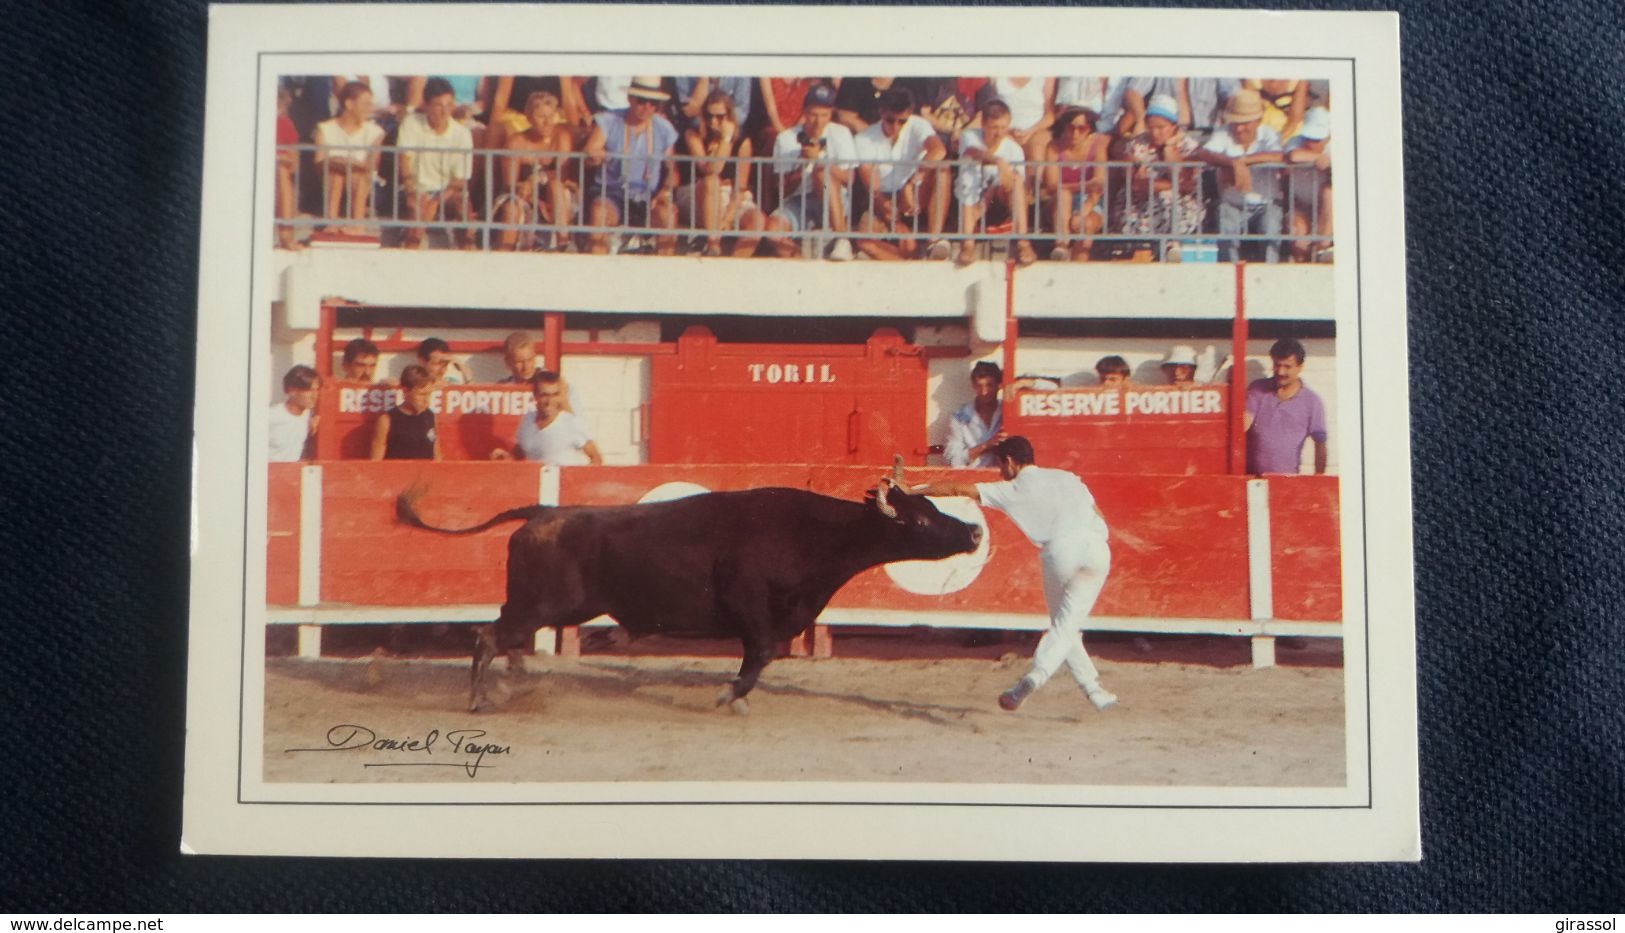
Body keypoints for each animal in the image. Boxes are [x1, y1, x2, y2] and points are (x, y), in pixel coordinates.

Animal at [396, 477, 975, 711]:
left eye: (932, 507)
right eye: (922, 519)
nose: (972, 531)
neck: (812, 534)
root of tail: (543, 511)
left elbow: (760, 657)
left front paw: (737, 698)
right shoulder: (750, 608)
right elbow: (761, 654)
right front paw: (728, 697)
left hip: (544, 607)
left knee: (501, 637)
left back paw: (510, 685)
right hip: (541, 605)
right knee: (488, 635)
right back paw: (479, 699)